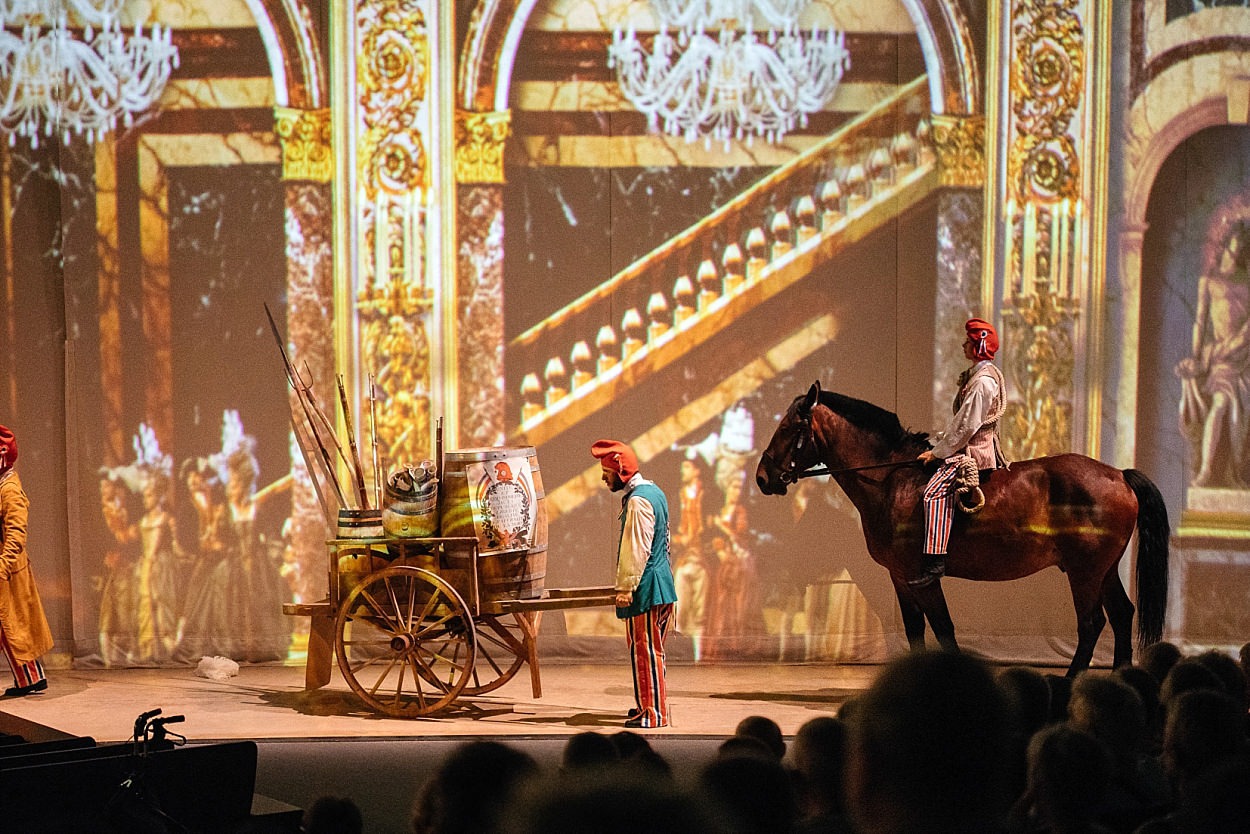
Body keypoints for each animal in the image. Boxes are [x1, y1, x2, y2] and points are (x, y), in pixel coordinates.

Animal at [750, 382, 1170, 675]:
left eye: (788, 428)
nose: (762, 477)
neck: (892, 479)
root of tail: (1118, 474)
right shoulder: (901, 578)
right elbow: (915, 630)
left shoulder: (922, 576)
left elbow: (943, 628)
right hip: (1104, 571)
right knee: (1122, 615)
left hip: (1085, 573)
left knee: (1092, 623)